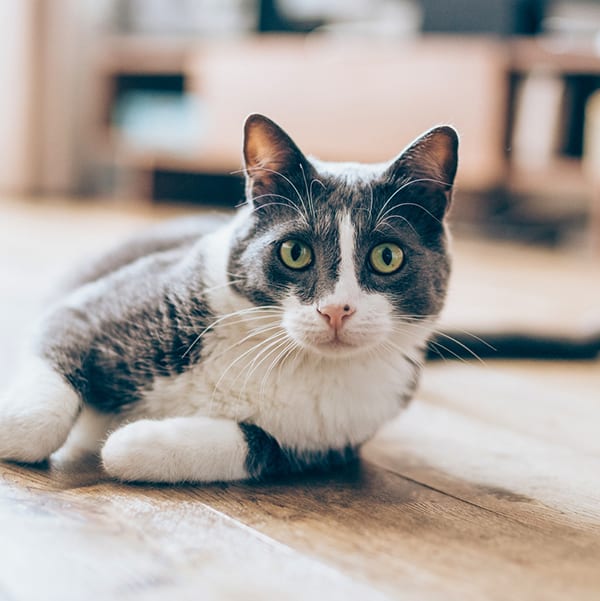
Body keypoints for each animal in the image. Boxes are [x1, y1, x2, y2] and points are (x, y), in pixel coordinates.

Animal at [0, 113, 458, 482]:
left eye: (387, 257)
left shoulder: (329, 441)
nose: (335, 310)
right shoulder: (88, 309)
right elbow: (42, 401)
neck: (288, 357)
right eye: (295, 252)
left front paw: (135, 442)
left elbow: (255, 445)